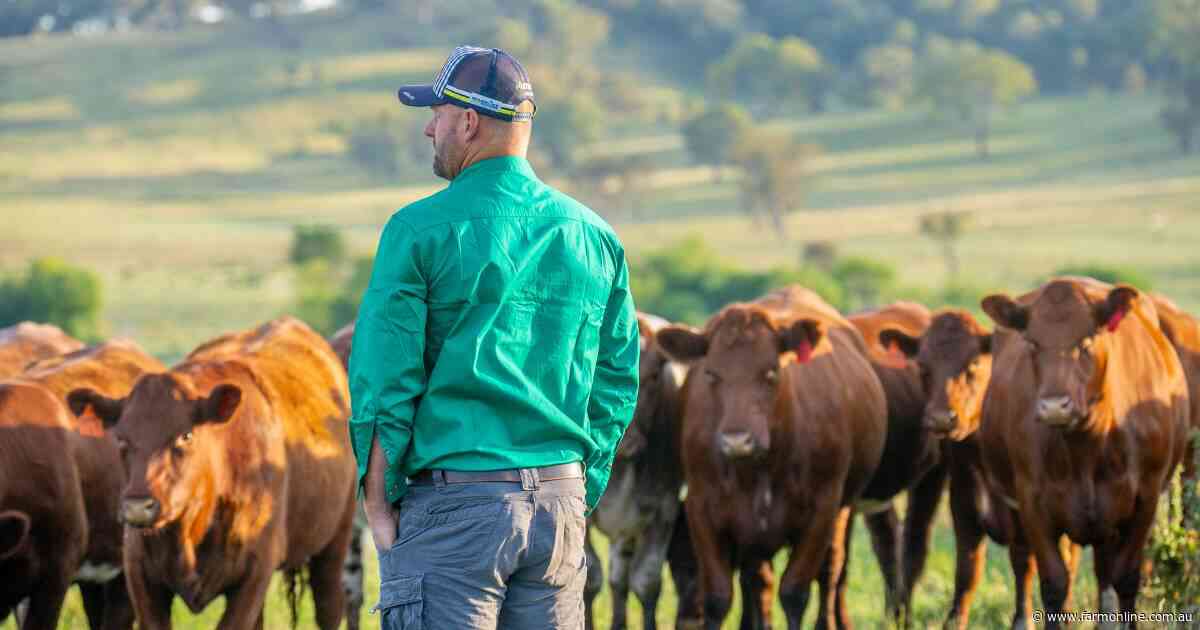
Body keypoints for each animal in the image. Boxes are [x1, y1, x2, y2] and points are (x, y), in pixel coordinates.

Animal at [67, 317, 358, 630]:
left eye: (185, 435)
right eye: (121, 439)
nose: (138, 507)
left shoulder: (256, 571)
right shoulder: (140, 574)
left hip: (335, 543)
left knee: (330, 605)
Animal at [583, 312, 692, 630]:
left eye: (655, 375)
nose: (628, 441)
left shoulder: (664, 510)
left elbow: (647, 582)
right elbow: (589, 577)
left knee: (621, 579)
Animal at [657, 286, 888, 630]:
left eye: (771, 372)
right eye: (711, 374)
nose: (737, 440)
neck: (759, 468)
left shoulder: (822, 509)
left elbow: (795, 592)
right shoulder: (702, 508)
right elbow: (718, 597)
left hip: (842, 510)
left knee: (830, 571)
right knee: (759, 580)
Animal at [979, 278, 1189, 628]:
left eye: (1087, 340)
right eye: (1032, 342)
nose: (1054, 406)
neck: (1087, 448)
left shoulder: (1145, 499)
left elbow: (1126, 578)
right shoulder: (1032, 502)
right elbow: (1054, 584)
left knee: (1104, 569)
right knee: (1022, 560)